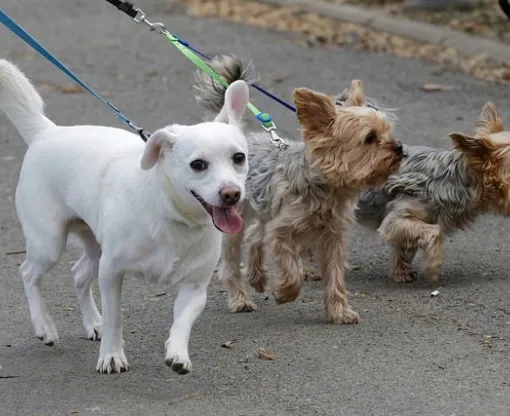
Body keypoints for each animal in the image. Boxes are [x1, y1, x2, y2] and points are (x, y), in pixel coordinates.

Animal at [0, 60, 251, 376]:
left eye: (239, 158)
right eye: (198, 164)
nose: (231, 193)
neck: (171, 215)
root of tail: (47, 132)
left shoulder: (194, 289)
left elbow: (182, 323)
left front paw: (177, 353)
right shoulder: (111, 272)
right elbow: (115, 318)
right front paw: (111, 356)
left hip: (95, 249)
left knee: (78, 274)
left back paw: (92, 323)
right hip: (49, 244)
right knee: (28, 273)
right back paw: (45, 326)